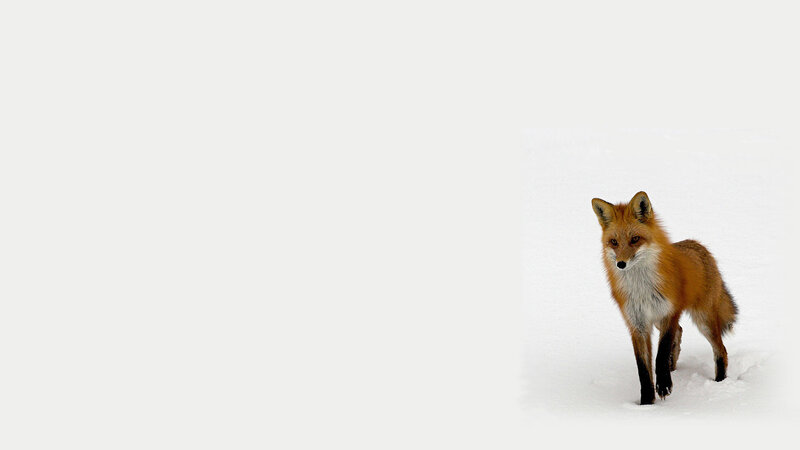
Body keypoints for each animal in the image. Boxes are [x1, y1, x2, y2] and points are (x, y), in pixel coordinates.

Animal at [591, 191, 738, 405]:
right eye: (614, 242)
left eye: (635, 239)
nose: (621, 264)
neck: (641, 288)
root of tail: (698, 245)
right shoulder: (637, 324)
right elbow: (643, 368)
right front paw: (646, 402)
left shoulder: (670, 312)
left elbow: (661, 354)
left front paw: (663, 385)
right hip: (660, 322)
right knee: (681, 331)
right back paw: (673, 367)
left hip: (703, 320)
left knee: (721, 350)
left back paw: (719, 383)